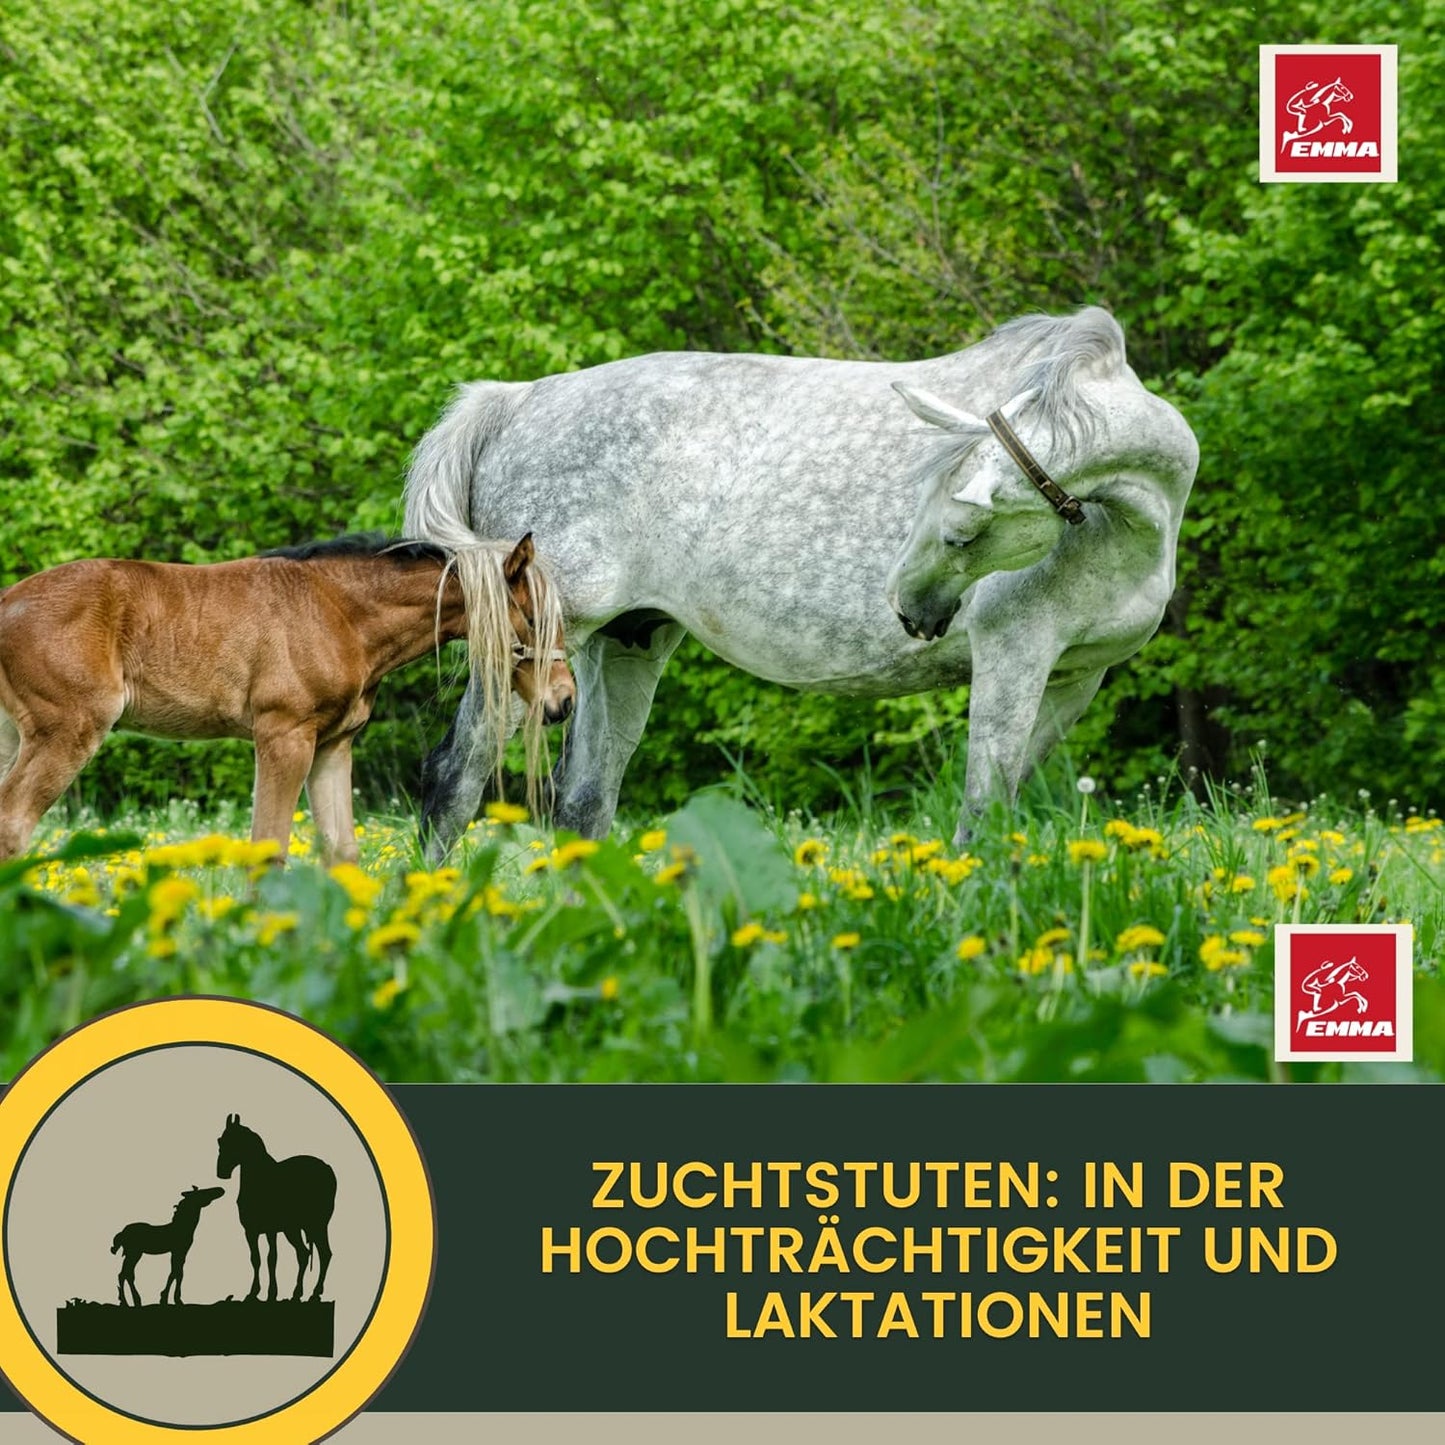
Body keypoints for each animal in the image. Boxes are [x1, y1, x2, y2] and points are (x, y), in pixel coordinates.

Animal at [0, 532, 573, 863]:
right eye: (535, 618)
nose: (564, 701)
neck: (341, 612)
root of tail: (8, 600)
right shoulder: (284, 736)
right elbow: (269, 846)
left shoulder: (332, 746)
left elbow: (341, 850)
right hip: (67, 731)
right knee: (13, 824)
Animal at [216, 1113, 336, 1305]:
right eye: (220, 1140)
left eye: (234, 1141)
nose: (221, 1172)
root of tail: (327, 1169)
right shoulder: (251, 1231)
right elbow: (256, 1259)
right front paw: (253, 1293)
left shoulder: (271, 1230)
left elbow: (271, 1259)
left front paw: (271, 1294)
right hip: (293, 1229)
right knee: (303, 1254)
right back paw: (297, 1294)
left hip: (316, 1225)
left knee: (324, 1253)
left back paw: (315, 1294)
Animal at [403, 306, 1197, 854]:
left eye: (957, 531)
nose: (907, 608)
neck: (1125, 524)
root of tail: (515, 400)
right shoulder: (1014, 654)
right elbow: (982, 807)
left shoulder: (1073, 678)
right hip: (529, 646)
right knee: (455, 780)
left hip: (625, 641)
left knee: (583, 806)